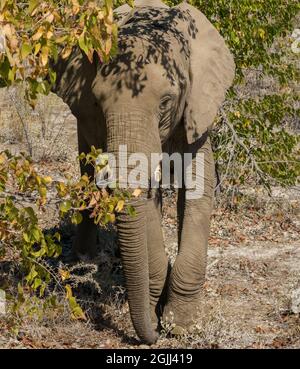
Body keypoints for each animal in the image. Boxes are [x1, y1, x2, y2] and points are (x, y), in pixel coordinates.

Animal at [51, 0, 234, 344]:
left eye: (165, 102)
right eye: (98, 102)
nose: (152, 335)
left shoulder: (197, 106)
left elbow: (199, 184)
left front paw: (180, 325)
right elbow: (143, 201)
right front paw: (157, 303)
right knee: (87, 169)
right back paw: (84, 260)